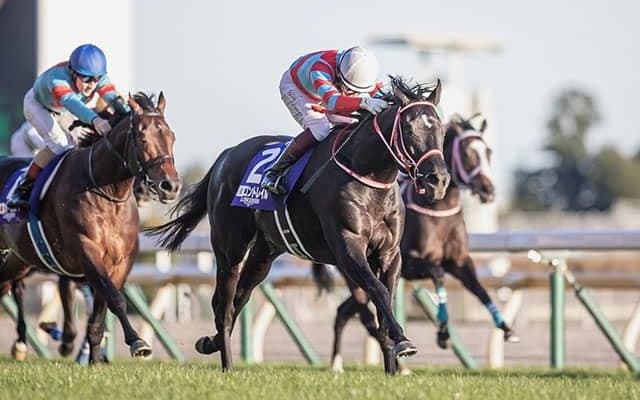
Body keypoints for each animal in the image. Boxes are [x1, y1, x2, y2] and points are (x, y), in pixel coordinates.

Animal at [0, 92, 181, 363]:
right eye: (143, 138)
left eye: (171, 137)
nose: (170, 186)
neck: (107, 191)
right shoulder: (85, 250)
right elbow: (115, 299)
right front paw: (137, 342)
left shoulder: (119, 262)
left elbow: (98, 318)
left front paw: (94, 360)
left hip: (18, 258)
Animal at [146, 76, 450, 374]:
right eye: (409, 129)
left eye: (441, 130)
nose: (438, 179)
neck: (367, 174)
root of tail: (226, 155)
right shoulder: (348, 248)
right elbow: (378, 290)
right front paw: (403, 342)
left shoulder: (389, 253)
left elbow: (384, 298)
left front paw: (393, 363)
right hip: (229, 248)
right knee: (225, 305)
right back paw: (227, 366)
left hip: (264, 253)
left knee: (239, 297)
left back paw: (211, 342)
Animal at [312, 114, 520, 372]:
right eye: (466, 152)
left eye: (488, 151)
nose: (488, 190)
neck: (439, 210)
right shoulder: (412, 264)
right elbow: (438, 274)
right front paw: (443, 332)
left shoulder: (459, 261)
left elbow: (479, 289)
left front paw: (506, 328)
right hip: (353, 272)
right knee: (363, 313)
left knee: (344, 311)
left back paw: (343, 363)